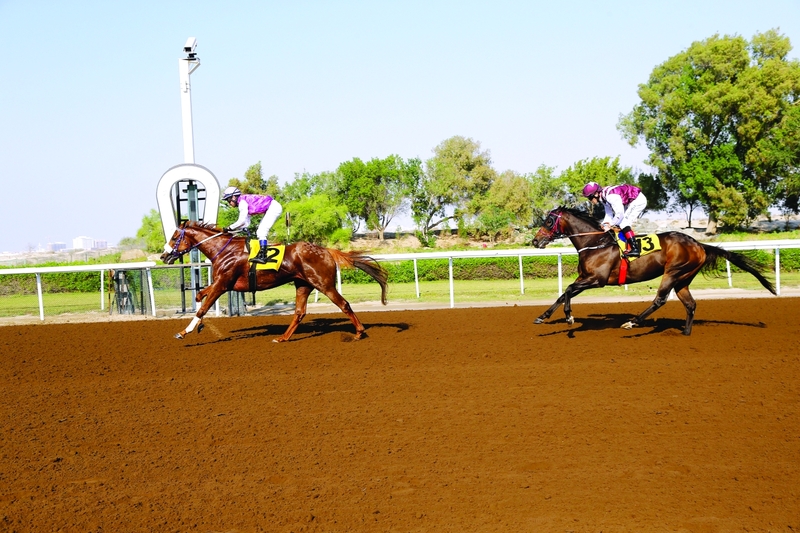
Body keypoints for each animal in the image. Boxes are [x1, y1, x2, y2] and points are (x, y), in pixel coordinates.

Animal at [159, 220, 388, 340]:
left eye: (174, 237)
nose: (163, 256)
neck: (223, 250)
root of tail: (326, 250)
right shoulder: (221, 283)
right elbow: (199, 295)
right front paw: (198, 326)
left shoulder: (223, 284)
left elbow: (203, 307)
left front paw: (185, 331)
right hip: (303, 285)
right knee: (299, 312)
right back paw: (283, 338)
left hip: (323, 284)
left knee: (344, 304)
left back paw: (359, 332)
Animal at [532, 207, 776, 334]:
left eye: (549, 220)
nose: (535, 241)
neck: (596, 243)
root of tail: (699, 244)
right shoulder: (585, 277)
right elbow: (564, 292)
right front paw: (545, 317)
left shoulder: (595, 279)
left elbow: (568, 289)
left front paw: (568, 317)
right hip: (683, 279)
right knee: (690, 304)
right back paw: (685, 332)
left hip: (673, 272)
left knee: (660, 299)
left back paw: (633, 322)